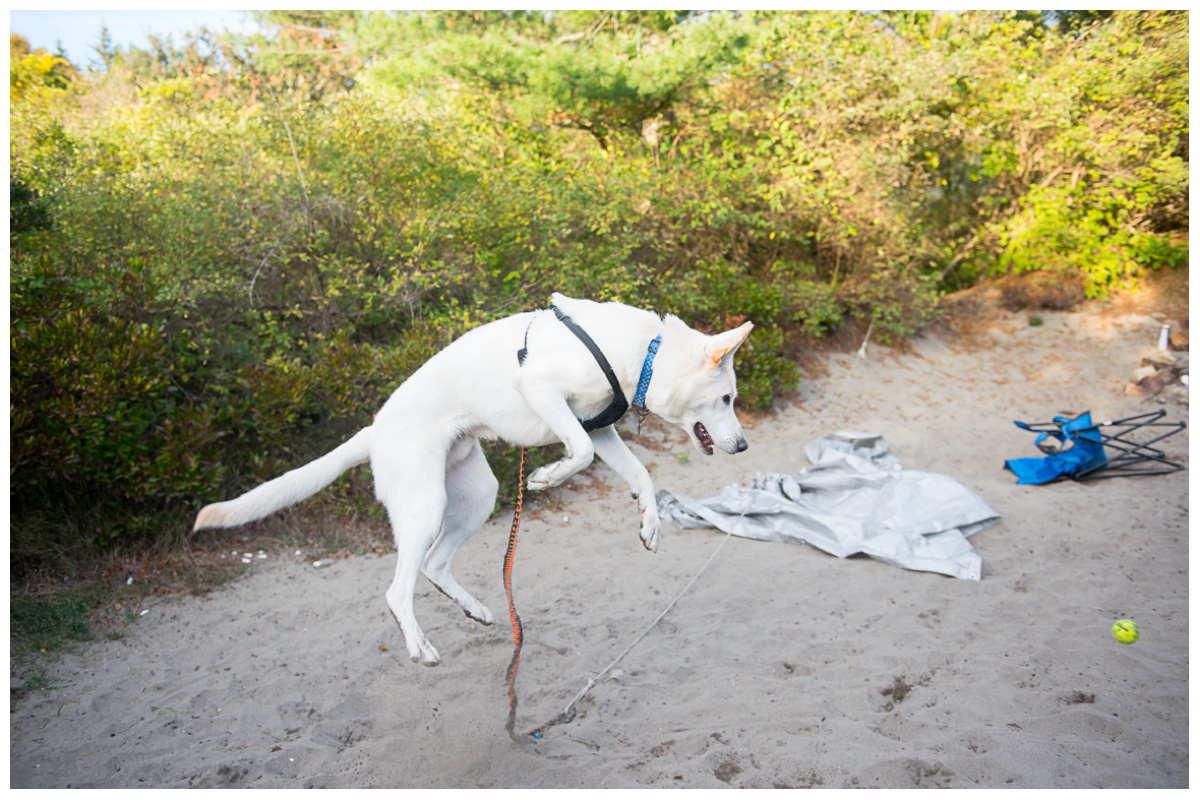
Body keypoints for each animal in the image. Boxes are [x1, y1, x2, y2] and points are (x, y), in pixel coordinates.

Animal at [195, 291, 753, 666]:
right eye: (727, 398)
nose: (745, 446)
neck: (644, 352)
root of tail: (374, 432)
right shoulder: (544, 392)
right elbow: (579, 453)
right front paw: (547, 477)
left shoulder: (598, 425)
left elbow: (638, 472)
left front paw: (650, 523)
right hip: (424, 507)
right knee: (398, 590)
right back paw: (419, 645)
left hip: (477, 499)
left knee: (434, 567)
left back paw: (477, 610)